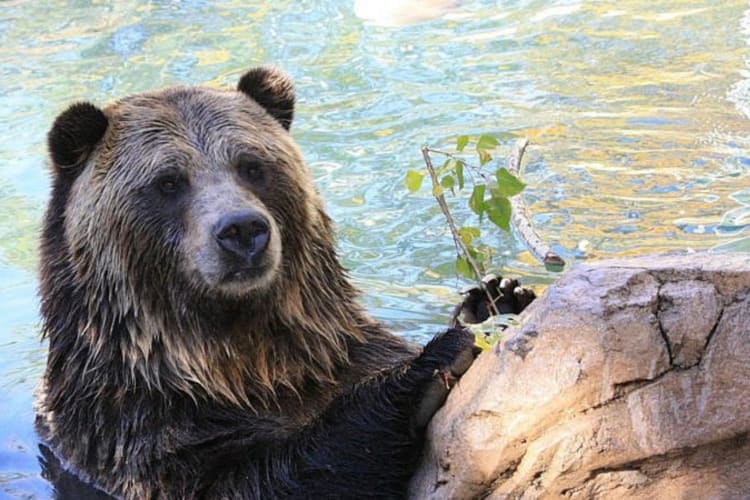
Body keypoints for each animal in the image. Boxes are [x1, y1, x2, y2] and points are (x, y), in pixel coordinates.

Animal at [33, 67, 528, 500]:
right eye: (168, 181)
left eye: (252, 165)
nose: (241, 229)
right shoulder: (135, 430)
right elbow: (252, 479)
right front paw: (429, 365)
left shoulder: (343, 355)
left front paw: (496, 299)